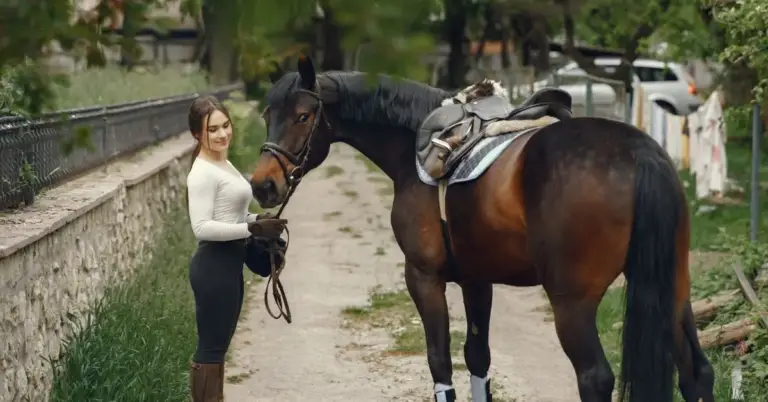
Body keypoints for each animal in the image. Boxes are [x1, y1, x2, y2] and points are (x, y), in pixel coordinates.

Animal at [248, 56, 715, 402]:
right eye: (268, 114)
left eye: (304, 116)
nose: (262, 185)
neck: (414, 149)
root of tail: (638, 154)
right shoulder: (476, 279)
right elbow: (477, 358)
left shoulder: (423, 276)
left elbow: (440, 361)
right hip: (671, 290)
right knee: (697, 373)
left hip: (573, 304)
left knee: (595, 378)